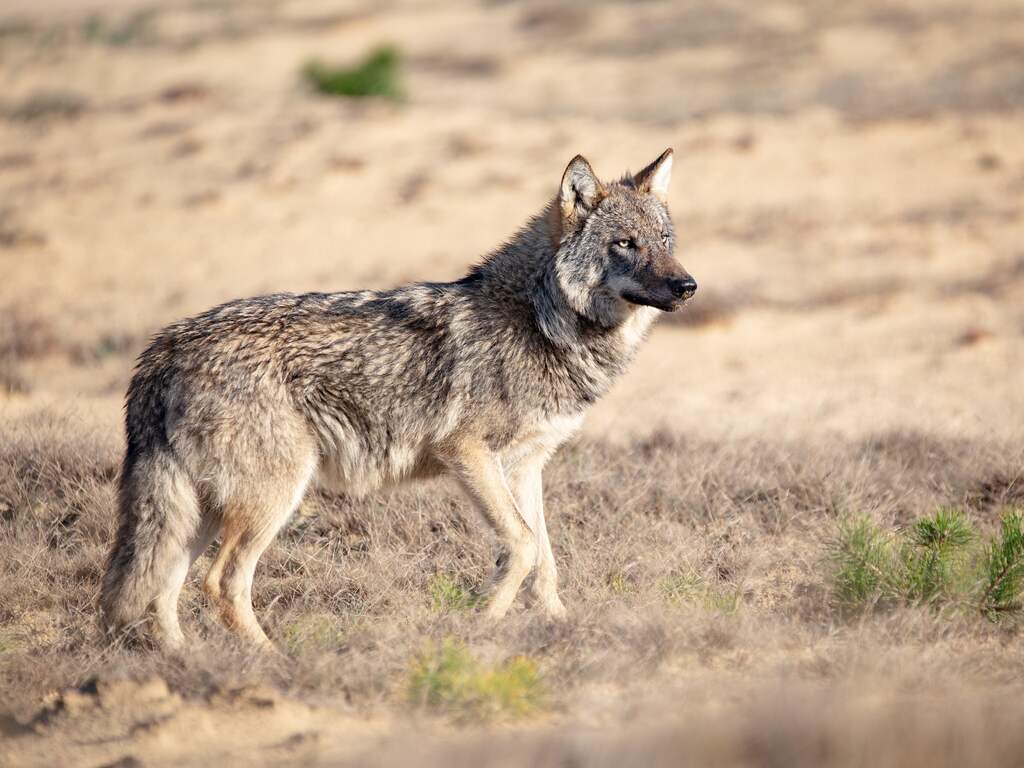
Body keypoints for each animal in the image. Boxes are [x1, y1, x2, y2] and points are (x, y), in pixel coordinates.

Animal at [100, 149, 697, 649]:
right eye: (625, 244)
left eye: (665, 241)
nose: (688, 286)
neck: (540, 320)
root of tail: (164, 348)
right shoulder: (467, 454)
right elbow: (524, 547)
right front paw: (482, 623)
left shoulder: (526, 465)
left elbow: (545, 559)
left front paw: (561, 628)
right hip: (271, 498)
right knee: (220, 583)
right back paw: (271, 662)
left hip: (202, 510)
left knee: (161, 588)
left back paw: (185, 662)